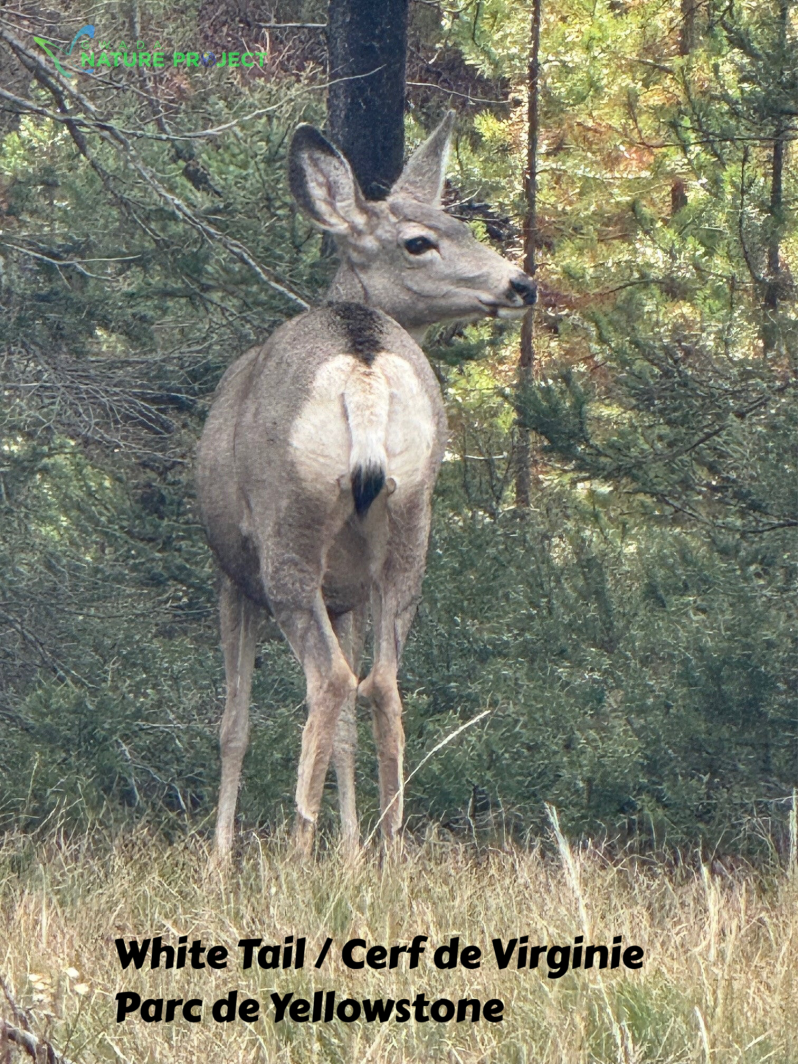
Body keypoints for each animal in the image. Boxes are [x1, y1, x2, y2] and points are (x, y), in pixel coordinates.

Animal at [196, 112, 536, 866]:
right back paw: (388, 846)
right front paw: (350, 850)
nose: (521, 285)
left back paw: (296, 853)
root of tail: (364, 363)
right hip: (412, 517)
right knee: (380, 683)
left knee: (326, 682)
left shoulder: (230, 571)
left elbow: (233, 724)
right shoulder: (347, 592)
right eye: (421, 239)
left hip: (288, 529)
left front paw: (220, 859)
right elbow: (350, 726)